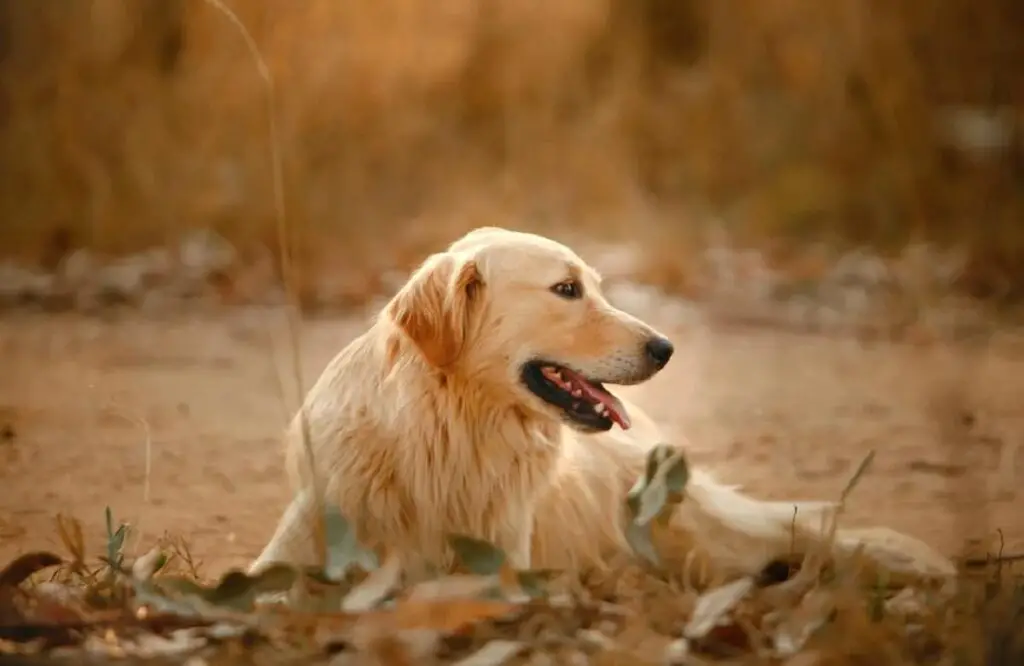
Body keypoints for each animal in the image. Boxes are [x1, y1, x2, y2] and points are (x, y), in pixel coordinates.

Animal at [251, 226, 954, 586]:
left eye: (594, 284)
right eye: (566, 290)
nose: (666, 347)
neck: (449, 432)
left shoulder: (500, 567)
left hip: (698, 530)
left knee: (802, 525)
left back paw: (909, 560)